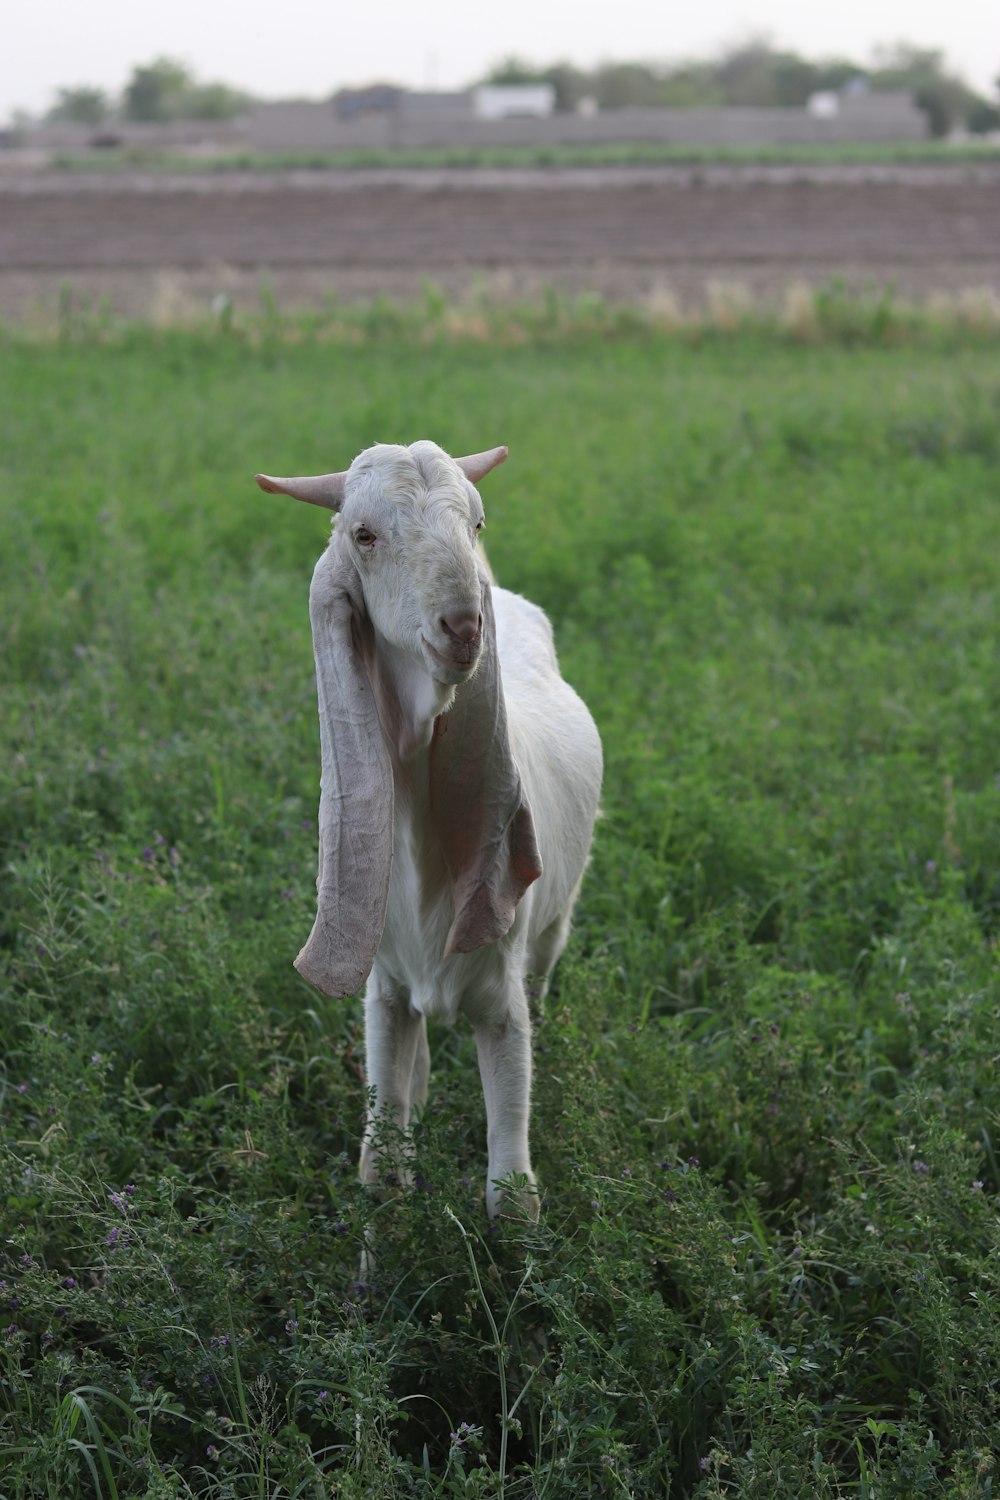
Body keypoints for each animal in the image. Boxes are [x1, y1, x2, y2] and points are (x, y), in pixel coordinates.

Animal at [257, 438, 602, 1212]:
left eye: (477, 523)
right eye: (363, 534)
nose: (464, 626)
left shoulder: (501, 1000)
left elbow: (512, 1192)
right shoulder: (383, 991)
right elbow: (381, 1168)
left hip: (554, 925)